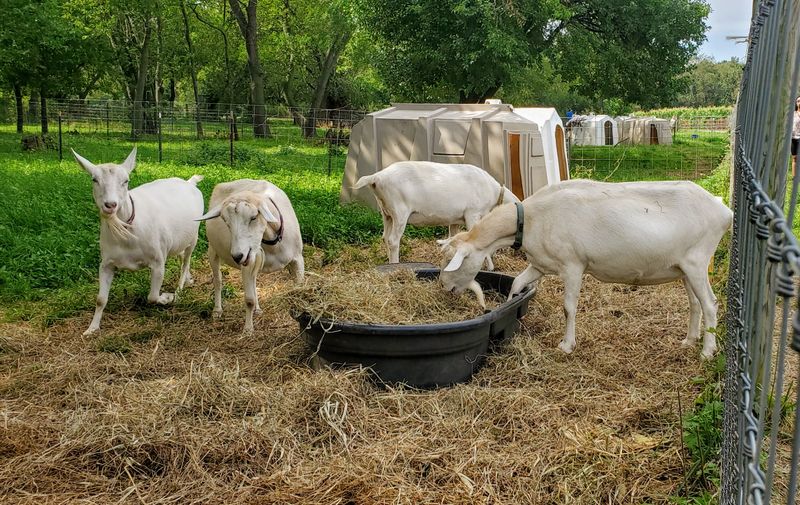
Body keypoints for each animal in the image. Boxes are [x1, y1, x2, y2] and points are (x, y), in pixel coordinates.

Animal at [72, 147, 204, 336]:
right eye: (94, 179)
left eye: (126, 180)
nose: (110, 205)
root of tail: (190, 183)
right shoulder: (106, 263)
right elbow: (100, 299)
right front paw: (91, 328)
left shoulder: (158, 260)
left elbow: (152, 297)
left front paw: (167, 297)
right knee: (181, 256)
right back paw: (188, 280)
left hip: (194, 235)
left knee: (185, 262)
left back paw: (179, 291)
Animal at [197, 179, 304, 334]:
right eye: (226, 222)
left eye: (254, 217)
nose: (237, 256)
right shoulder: (247, 263)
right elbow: (248, 300)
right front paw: (248, 329)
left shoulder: (297, 259)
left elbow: (299, 289)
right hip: (213, 250)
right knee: (218, 281)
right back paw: (217, 310)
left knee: (253, 282)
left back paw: (258, 309)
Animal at [353, 161, 519, 269]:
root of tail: (376, 177)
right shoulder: (473, 214)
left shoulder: (455, 220)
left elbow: (454, 238)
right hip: (400, 212)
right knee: (393, 240)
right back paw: (395, 265)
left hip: (386, 213)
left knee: (385, 237)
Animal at [438, 179, 732, 360]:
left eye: (455, 259)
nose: (444, 286)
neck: (531, 218)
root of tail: (724, 210)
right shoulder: (541, 264)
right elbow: (518, 283)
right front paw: (511, 308)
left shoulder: (572, 265)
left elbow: (568, 307)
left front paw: (567, 345)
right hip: (683, 268)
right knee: (695, 303)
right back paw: (689, 341)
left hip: (697, 261)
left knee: (710, 303)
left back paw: (707, 351)